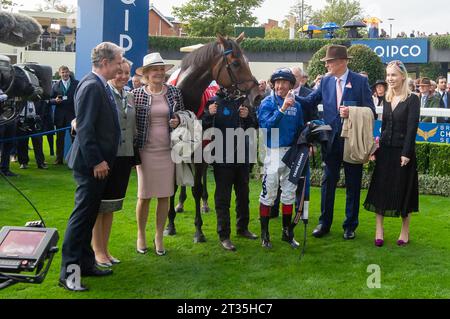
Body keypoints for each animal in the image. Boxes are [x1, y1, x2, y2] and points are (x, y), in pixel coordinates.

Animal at [166, 33, 262, 242]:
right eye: (235, 63)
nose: (258, 95)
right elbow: (173, 186)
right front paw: (169, 224)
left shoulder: (201, 153)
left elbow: (197, 188)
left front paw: (198, 231)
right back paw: (180, 203)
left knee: (201, 181)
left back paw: (205, 203)